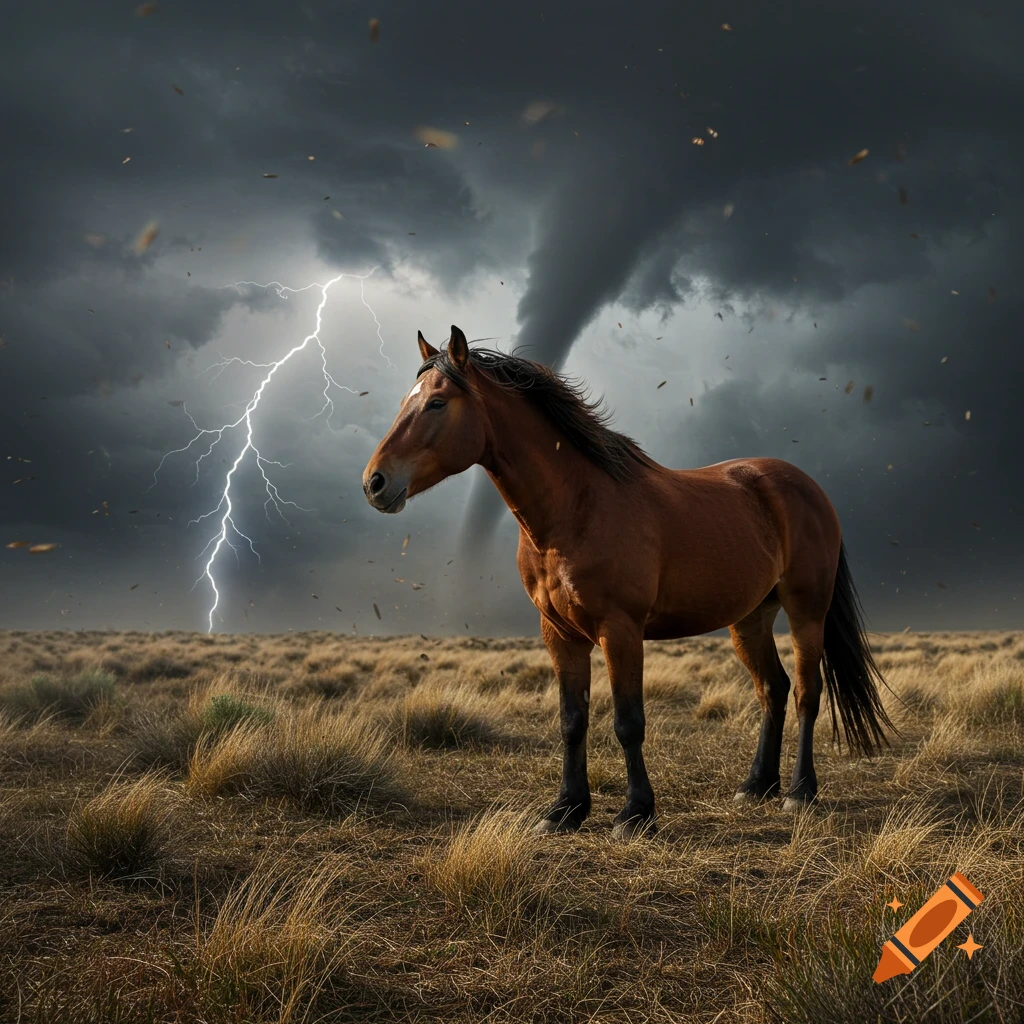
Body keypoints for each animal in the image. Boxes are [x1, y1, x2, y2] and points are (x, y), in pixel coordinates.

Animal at [362, 326, 894, 837]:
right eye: (406, 399)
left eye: (437, 402)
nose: (374, 483)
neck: (575, 509)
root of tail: (807, 487)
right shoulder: (559, 634)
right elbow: (572, 721)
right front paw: (565, 810)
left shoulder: (620, 630)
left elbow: (627, 722)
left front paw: (635, 814)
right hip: (749, 618)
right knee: (773, 689)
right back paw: (756, 786)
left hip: (807, 610)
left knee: (806, 691)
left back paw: (800, 792)